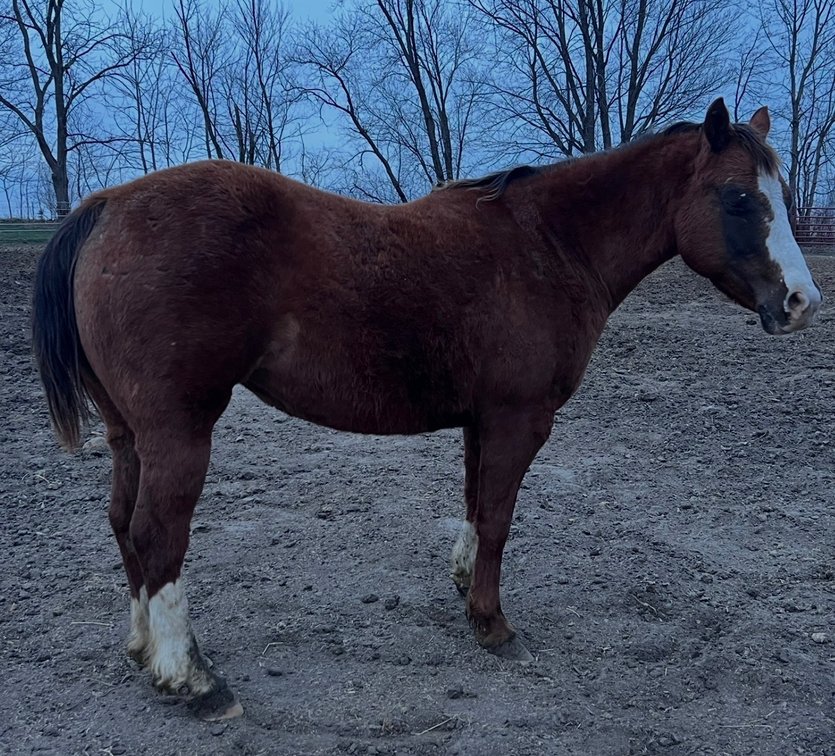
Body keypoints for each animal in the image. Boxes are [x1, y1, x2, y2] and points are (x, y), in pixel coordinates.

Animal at [32, 98, 821, 721]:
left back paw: (144, 649)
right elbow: (498, 520)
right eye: (738, 198)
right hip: (179, 429)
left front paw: (465, 587)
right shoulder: (518, 419)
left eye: (778, 194)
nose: (800, 303)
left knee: (124, 526)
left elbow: (475, 506)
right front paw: (492, 625)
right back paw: (192, 679)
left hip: (130, 433)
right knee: (157, 535)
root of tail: (107, 205)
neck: (546, 247)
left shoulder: (482, 421)